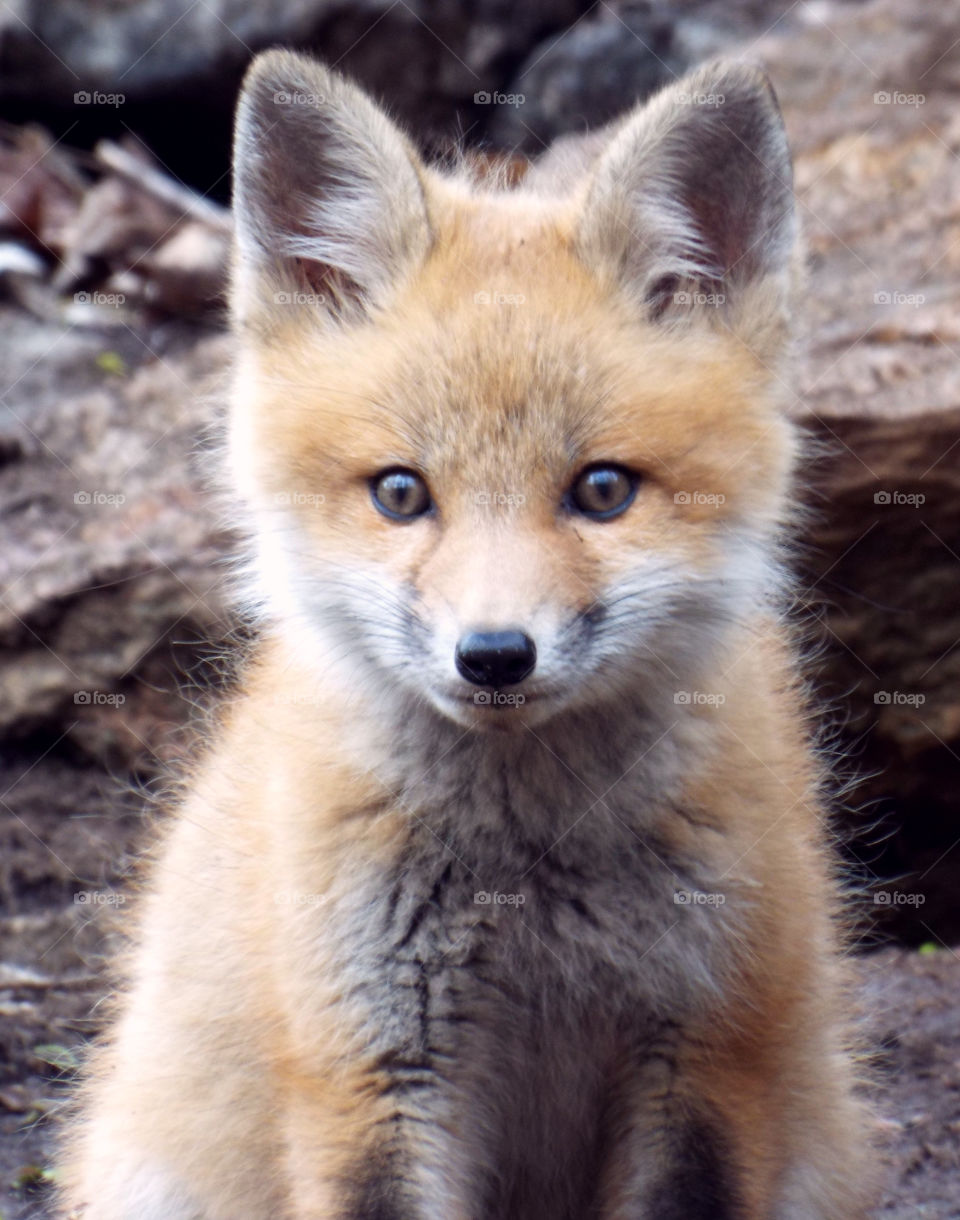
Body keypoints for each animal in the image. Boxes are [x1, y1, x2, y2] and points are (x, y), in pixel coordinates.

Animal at [60, 49, 872, 1220]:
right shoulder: (375, 1069)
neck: (527, 874)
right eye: (401, 493)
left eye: (603, 490)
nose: (493, 656)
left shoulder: (708, 1057)